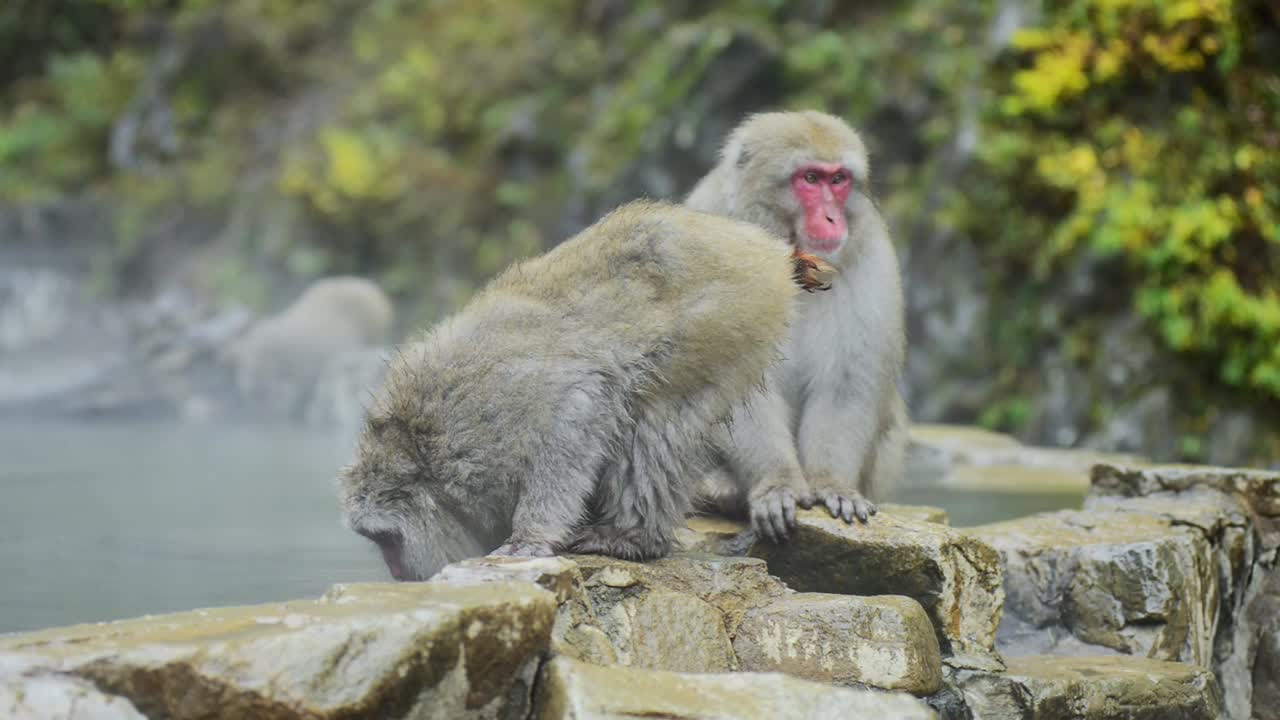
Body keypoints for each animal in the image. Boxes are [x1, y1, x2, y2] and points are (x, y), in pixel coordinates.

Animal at [337, 200, 836, 581]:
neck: (420, 439)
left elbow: (576, 409)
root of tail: (762, 249)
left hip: (726, 319)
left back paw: (633, 538)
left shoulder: (490, 415)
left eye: (385, 538)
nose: (396, 570)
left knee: (653, 419)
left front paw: (531, 536)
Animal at [685, 110, 908, 543]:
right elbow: (734, 380)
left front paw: (831, 485)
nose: (832, 218)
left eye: (838, 180)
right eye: (810, 178)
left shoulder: (870, 255)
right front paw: (777, 484)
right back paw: (718, 487)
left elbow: (849, 380)